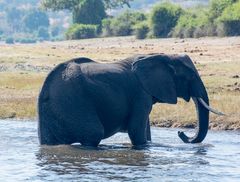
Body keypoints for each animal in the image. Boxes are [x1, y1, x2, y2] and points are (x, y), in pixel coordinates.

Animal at [37, 53, 223, 146]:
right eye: (190, 76)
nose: (181, 133)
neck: (162, 56)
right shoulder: (140, 95)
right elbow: (136, 132)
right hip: (75, 103)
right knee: (93, 134)